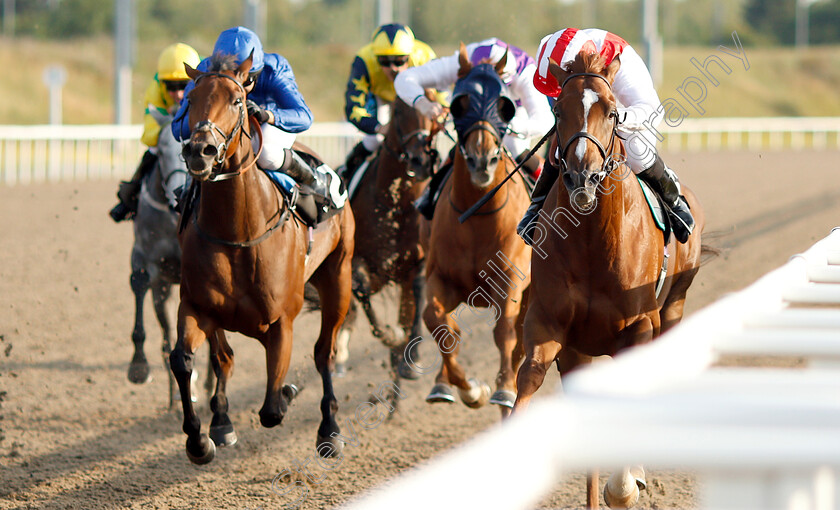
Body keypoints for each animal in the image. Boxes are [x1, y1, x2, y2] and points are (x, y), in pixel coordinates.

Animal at [171, 53, 354, 464]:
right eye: (190, 100)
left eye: (238, 100)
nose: (200, 151)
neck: (238, 232)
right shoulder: (196, 306)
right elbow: (184, 360)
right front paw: (199, 440)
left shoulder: (282, 321)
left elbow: (272, 408)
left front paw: (288, 392)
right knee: (224, 357)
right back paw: (221, 423)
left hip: (339, 277)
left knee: (325, 353)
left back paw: (330, 428)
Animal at [336, 93, 440, 380]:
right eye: (399, 112)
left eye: (435, 117)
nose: (420, 161)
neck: (397, 204)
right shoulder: (357, 260)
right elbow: (360, 288)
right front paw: (391, 335)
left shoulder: (418, 260)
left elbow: (419, 289)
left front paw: (412, 357)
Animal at [420, 45, 532, 416]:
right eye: (460, 103)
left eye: (504, 103)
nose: (482, 160)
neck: (477, 214)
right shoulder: (441, 278)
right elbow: (439, 324)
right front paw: (470, 389)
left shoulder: (512, 279)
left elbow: (507, 333)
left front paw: (505, 390)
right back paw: (443, 384)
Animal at [516, 52, 704, 510]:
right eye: (558, 111)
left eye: (612, 111)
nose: (581, 178)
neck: (591, 243)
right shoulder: (547, 326)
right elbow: (528, 379)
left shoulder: (639, 327)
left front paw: (627, 483)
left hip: (673, 306)